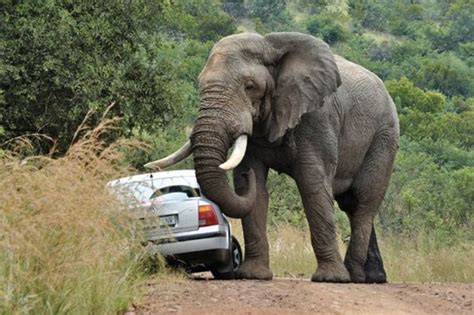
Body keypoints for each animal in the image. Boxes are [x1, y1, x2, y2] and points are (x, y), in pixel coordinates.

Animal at [145, 31, 400, 284]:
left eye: (250, 86)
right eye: (200, 84)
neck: (270, 45)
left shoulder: (317, 118)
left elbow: (312, 185)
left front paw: (331, 279)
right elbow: (254, 188)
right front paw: (253, 275)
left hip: (384, 136)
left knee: (364, 199)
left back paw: (354, 275)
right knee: (351, 204)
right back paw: (372, 278)